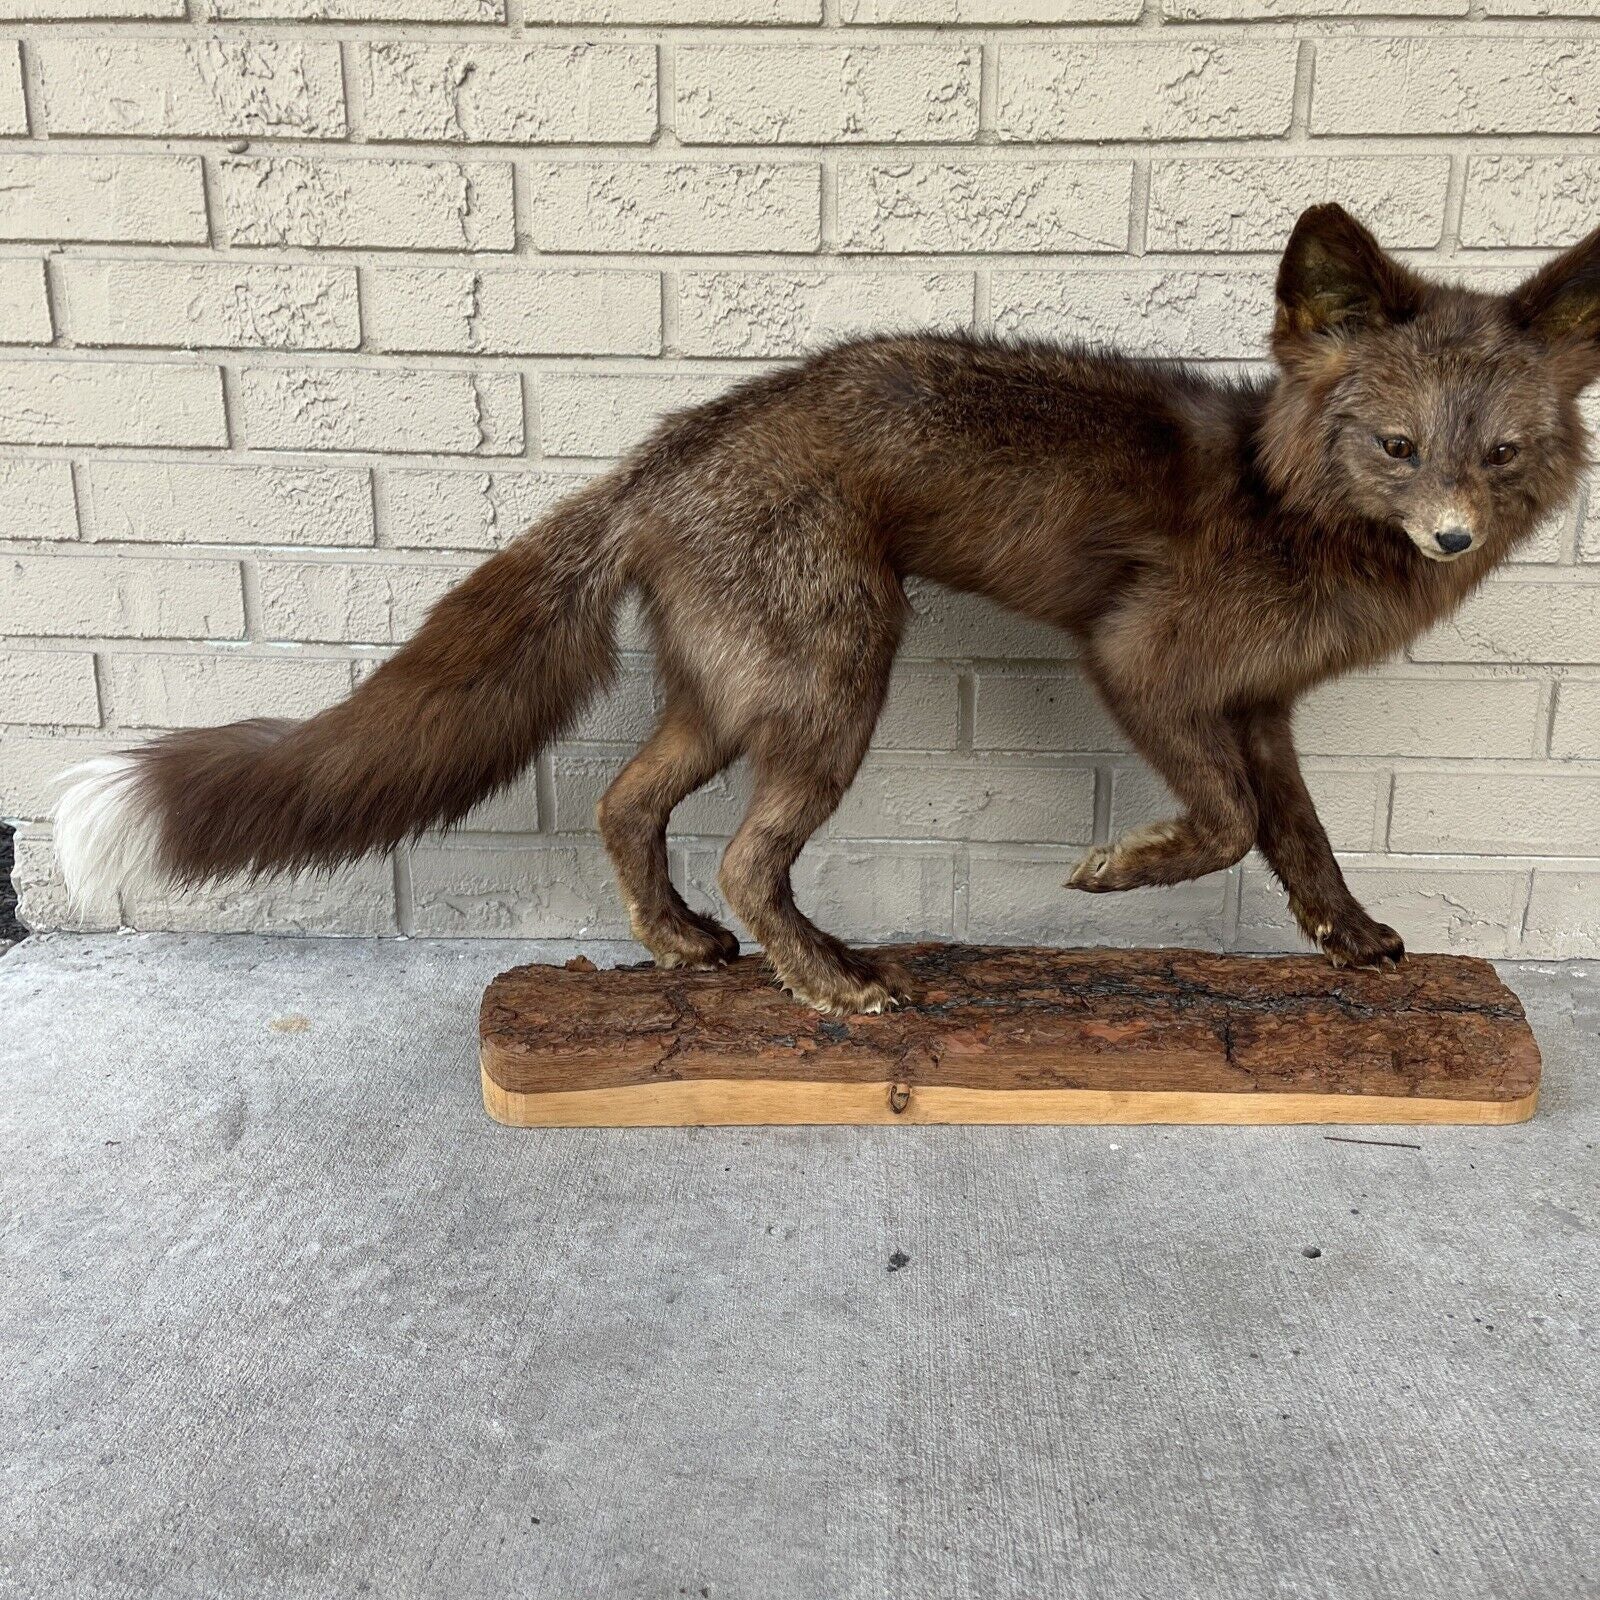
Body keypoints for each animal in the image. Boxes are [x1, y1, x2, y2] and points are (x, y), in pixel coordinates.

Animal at [54, 204, 1600, 1016]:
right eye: (1396, 446)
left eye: (1501, 454)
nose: (1455, 535)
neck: (1284, 499)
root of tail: (660, 455)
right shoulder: (1143, 665)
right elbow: (1221, 826)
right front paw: (1114, 874)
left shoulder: (1257, 706)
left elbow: (1300, 842)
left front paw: (1356, 946)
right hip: (837, 678)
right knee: (745, 856)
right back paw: (830, 986)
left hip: (735, 696)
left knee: (627, 807)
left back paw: (689, 946)